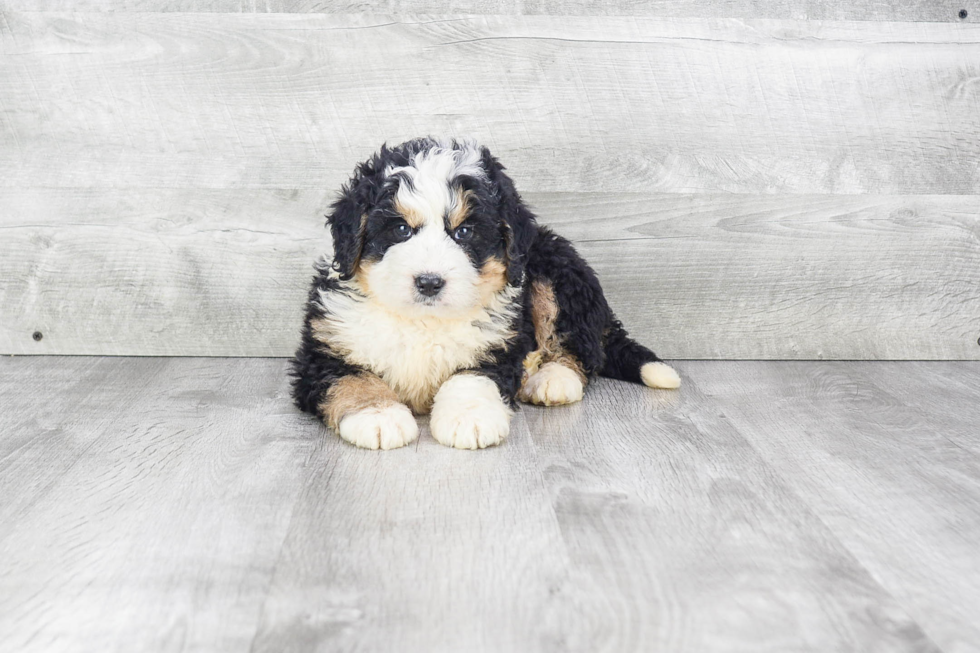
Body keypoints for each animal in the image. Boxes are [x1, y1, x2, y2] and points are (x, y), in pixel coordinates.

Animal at [288, 138, 676, 448]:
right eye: (400, 229)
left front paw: (469, 419)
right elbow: (352, 378)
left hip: (557, 272)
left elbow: (470, 378)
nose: (429, 282)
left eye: (464, 233)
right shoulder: (325, 349)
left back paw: (552, 379)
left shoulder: (498, 345)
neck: (424, 321)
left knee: (580, 347)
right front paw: (378, 416)